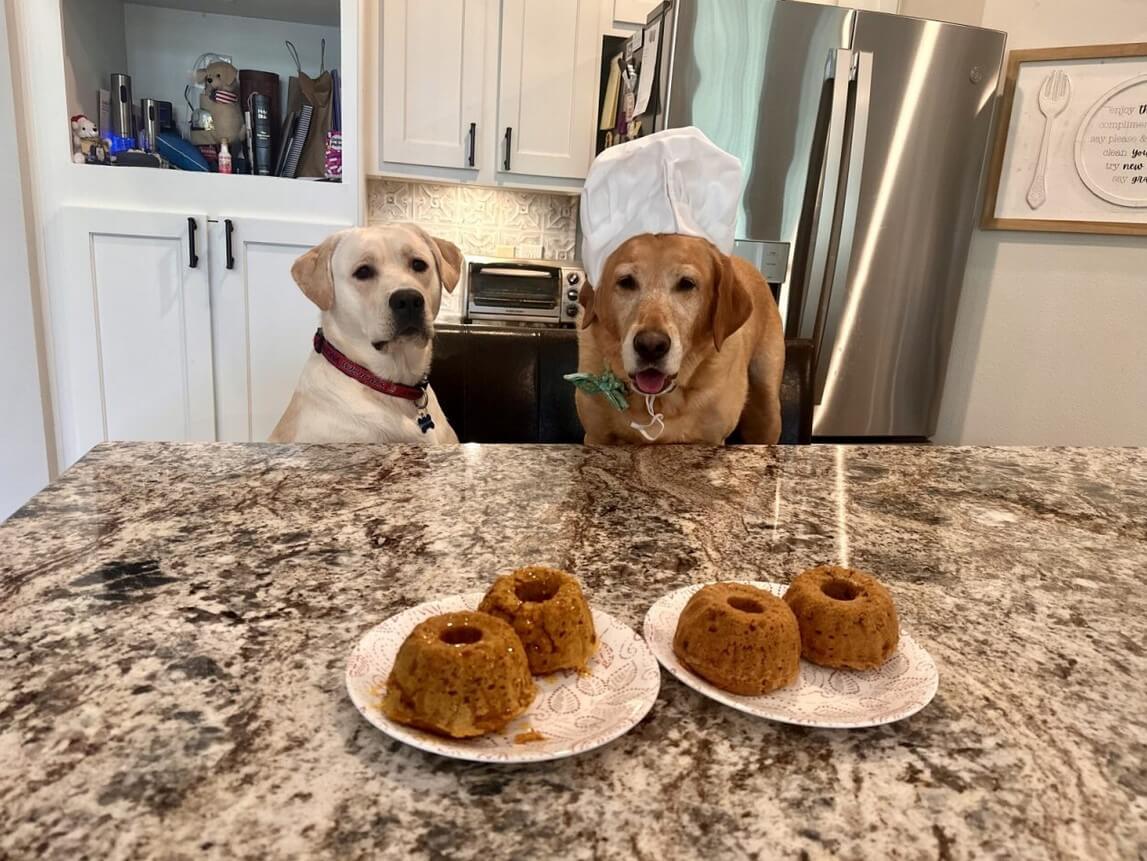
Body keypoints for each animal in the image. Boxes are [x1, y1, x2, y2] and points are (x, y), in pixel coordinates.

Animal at [574, 233, 784, 445]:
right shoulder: (595, 437)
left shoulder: (713, 439)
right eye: (626, 281)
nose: (650, 346)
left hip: (766, 409)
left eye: (687, 284)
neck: (657, 401)